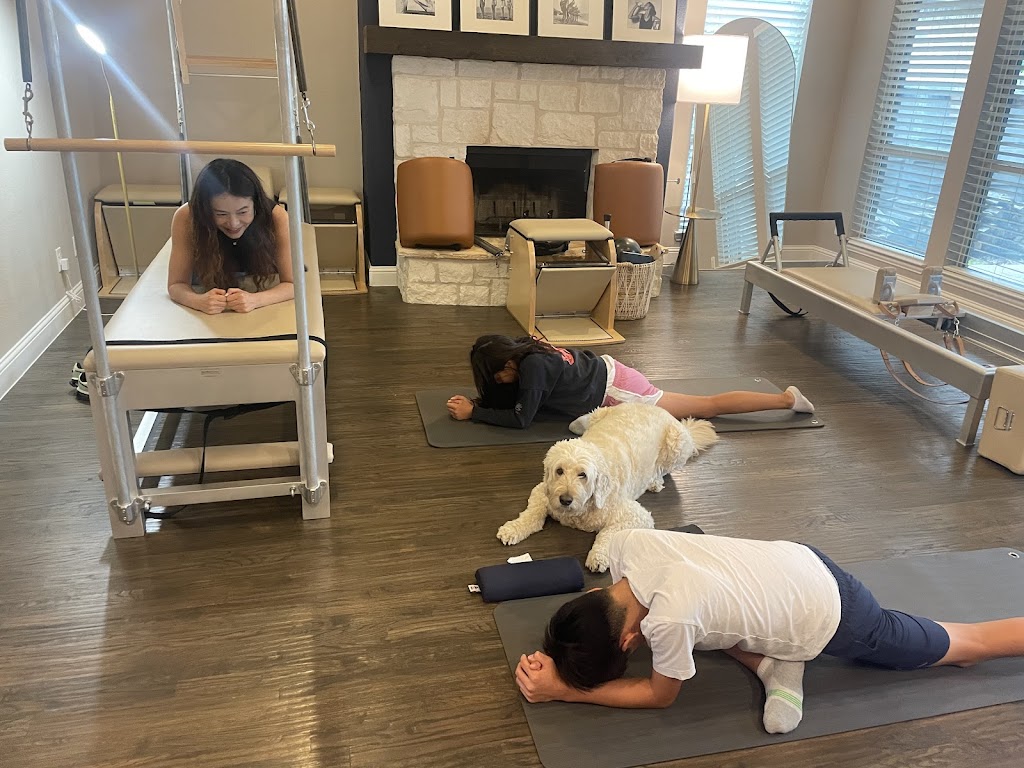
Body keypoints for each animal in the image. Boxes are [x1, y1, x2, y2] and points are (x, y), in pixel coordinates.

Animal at [496, 403, 718, 572]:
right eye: (559, 471)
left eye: (582, 475)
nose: (565, 500)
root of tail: (657, 407)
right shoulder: (542, 493)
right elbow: (531, 514)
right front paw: (513, 528)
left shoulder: (637, 516)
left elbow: (609, 533)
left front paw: (599, 556)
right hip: (597, 414)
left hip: (676, 445)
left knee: (663, 469)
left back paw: (654, 481)